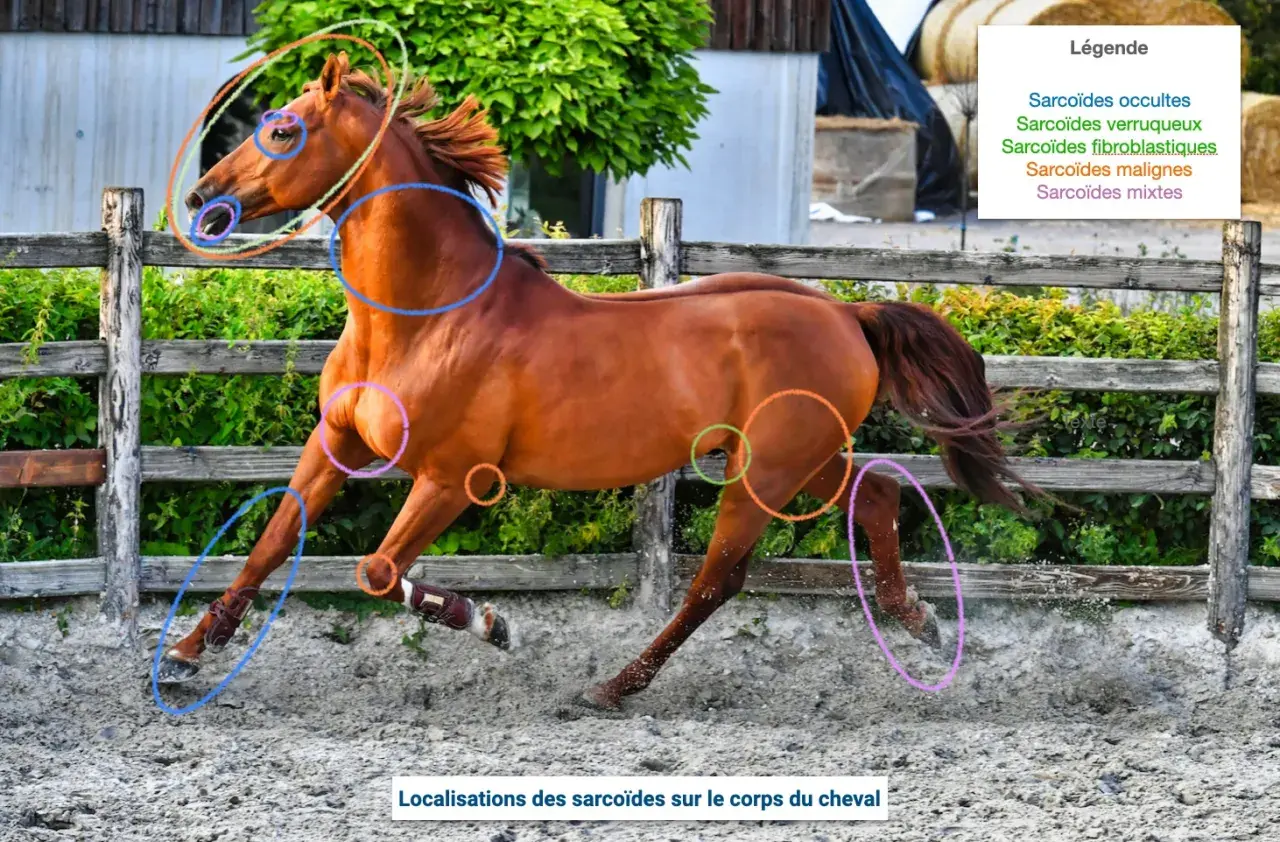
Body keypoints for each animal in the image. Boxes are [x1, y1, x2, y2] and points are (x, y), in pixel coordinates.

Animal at [157, 52, 1037, 711]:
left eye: (282, 130)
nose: (202, 198)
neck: (422, 317)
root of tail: (847, 314)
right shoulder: (335, 442)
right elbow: (273, 540)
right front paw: (187, 653)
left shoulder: (450, 477)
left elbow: (375, 571)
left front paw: (491, 623)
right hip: (803, 458)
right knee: (876, 495)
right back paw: (918, 619)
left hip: (767, 471)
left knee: (717, 580)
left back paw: (612, 687)